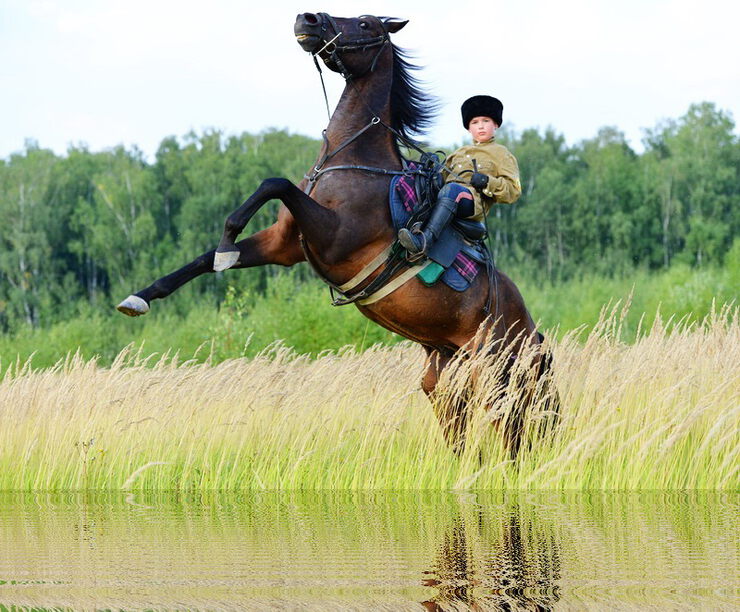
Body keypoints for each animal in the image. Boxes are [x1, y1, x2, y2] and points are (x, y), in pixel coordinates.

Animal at [115, 11, 556, 456]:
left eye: (365, 23)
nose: (307, 19)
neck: (354, 162)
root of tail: (530, 330)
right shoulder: (284, 244)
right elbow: (207, 257)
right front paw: (142, 296)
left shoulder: (333, 237)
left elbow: (273, 183)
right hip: (446, 375)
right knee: (467, 437)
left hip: (497, 376)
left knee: (512, 437)